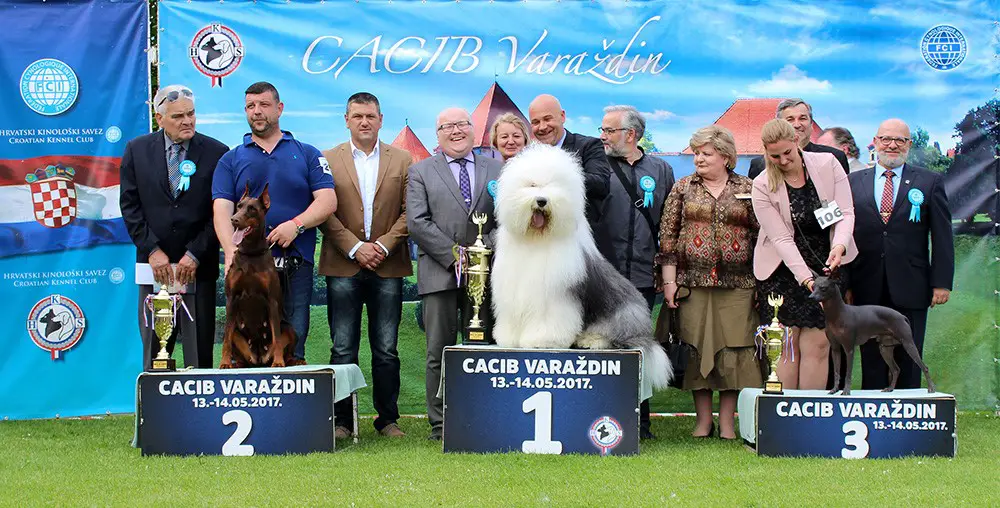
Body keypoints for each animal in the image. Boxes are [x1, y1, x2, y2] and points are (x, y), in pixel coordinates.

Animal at [225, 184, 302, 370]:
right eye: (239, 206)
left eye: (252, 209)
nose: (233, 219)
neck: (251, 253)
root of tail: (259, 358)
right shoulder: (231, 298)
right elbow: (225, 338)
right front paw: (224, 363)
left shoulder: (271, 300)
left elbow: (276, 337)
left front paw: (278, 362)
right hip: (239, 334)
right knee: (234, 340)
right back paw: (236, 364)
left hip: (289, 329)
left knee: (285, 344)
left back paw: (293, 361)